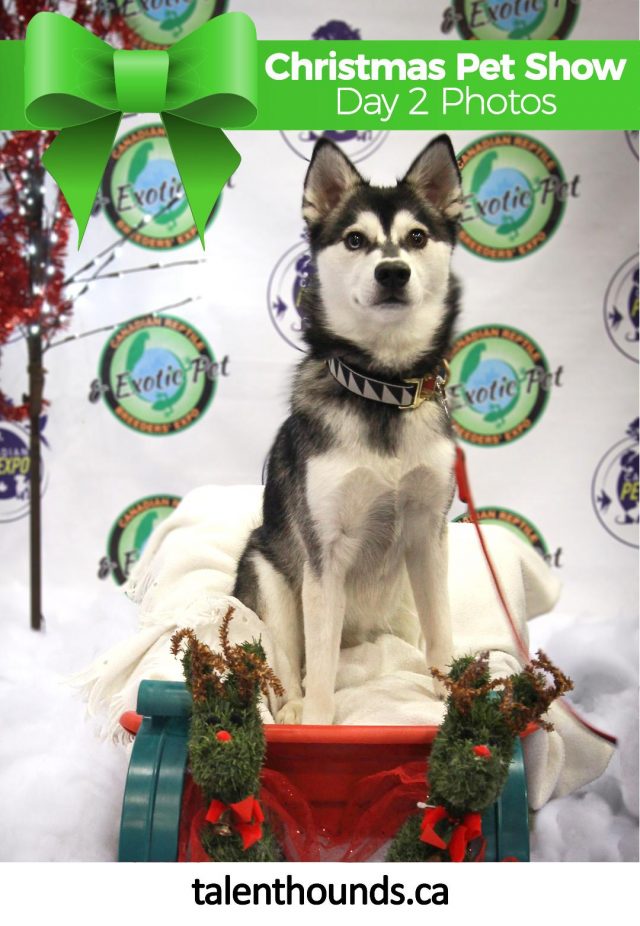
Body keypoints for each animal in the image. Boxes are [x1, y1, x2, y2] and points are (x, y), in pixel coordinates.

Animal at [232, 134, 462, 724]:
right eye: (356, 239)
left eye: (417, 237)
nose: (393, 272)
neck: (383, 385)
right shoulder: (325, 551)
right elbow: (318, 667)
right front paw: (317, 723)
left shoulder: (429, 534)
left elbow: (443, 633)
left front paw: (459, 699)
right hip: (269, 573)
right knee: (289, 666)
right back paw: (291, 708)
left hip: (397, 602)